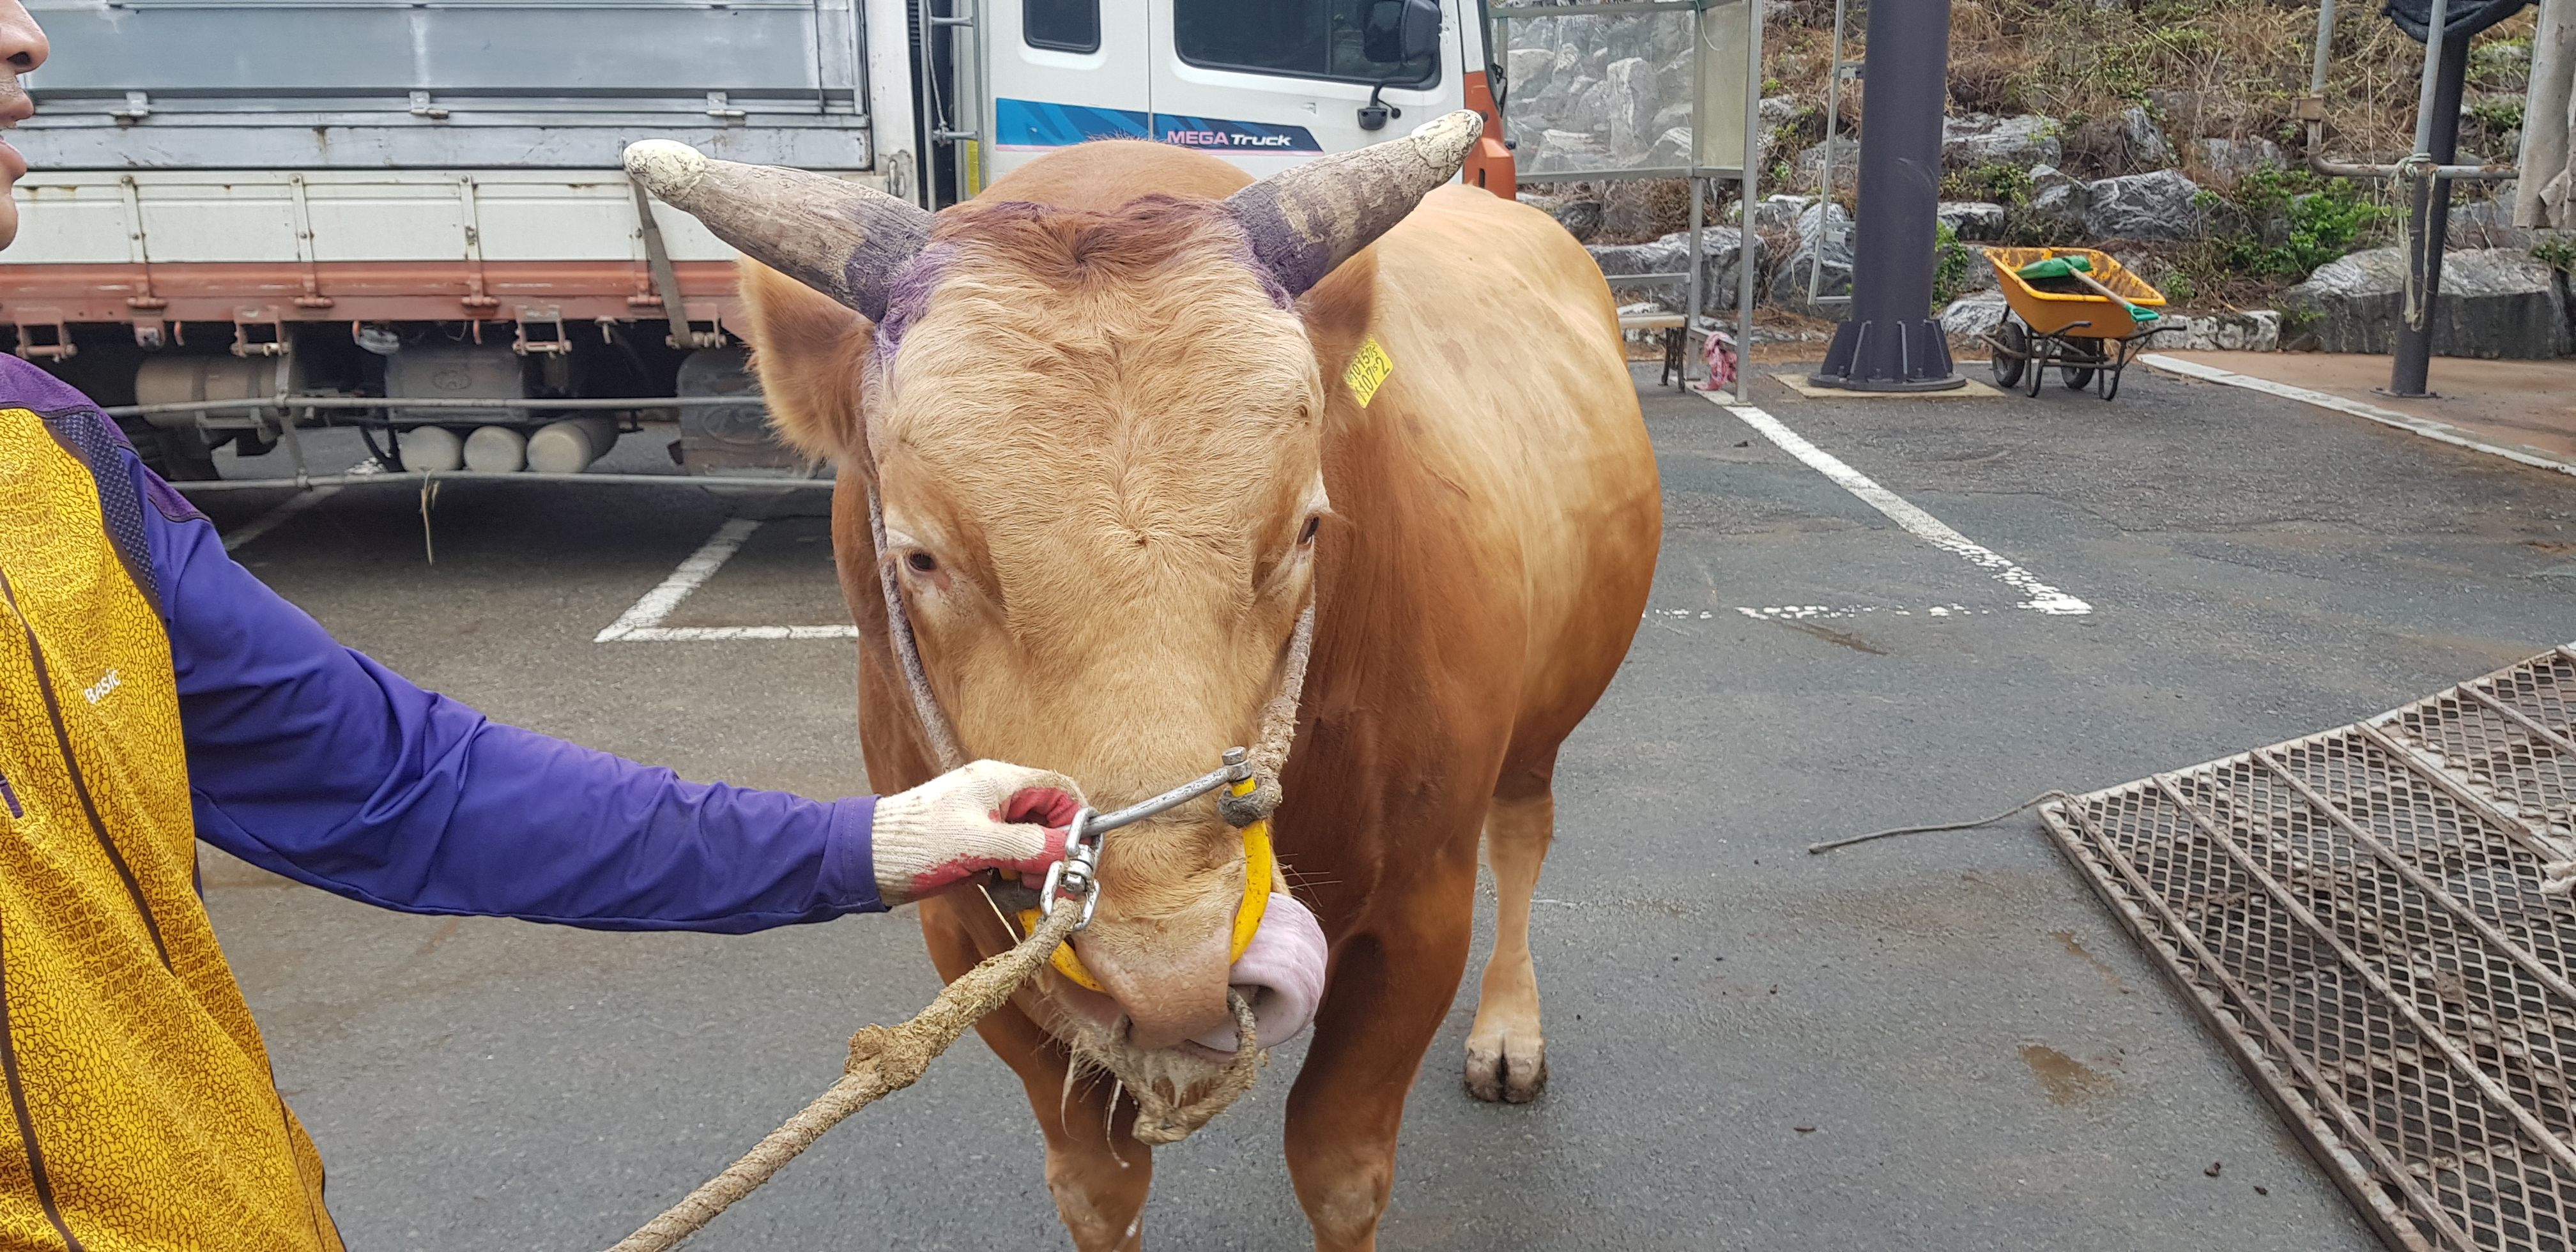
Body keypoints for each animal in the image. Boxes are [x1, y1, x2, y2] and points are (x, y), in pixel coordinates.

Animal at [633, 114, 1659, 1241]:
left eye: (1307, 527)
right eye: (921, 557)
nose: (1171, 975)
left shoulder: (1423, 906)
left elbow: (1339, 1167)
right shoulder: (967, 932)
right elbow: (1097, 1181)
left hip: (1549, 716)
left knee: (1523, 832)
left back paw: (1510, 1028)